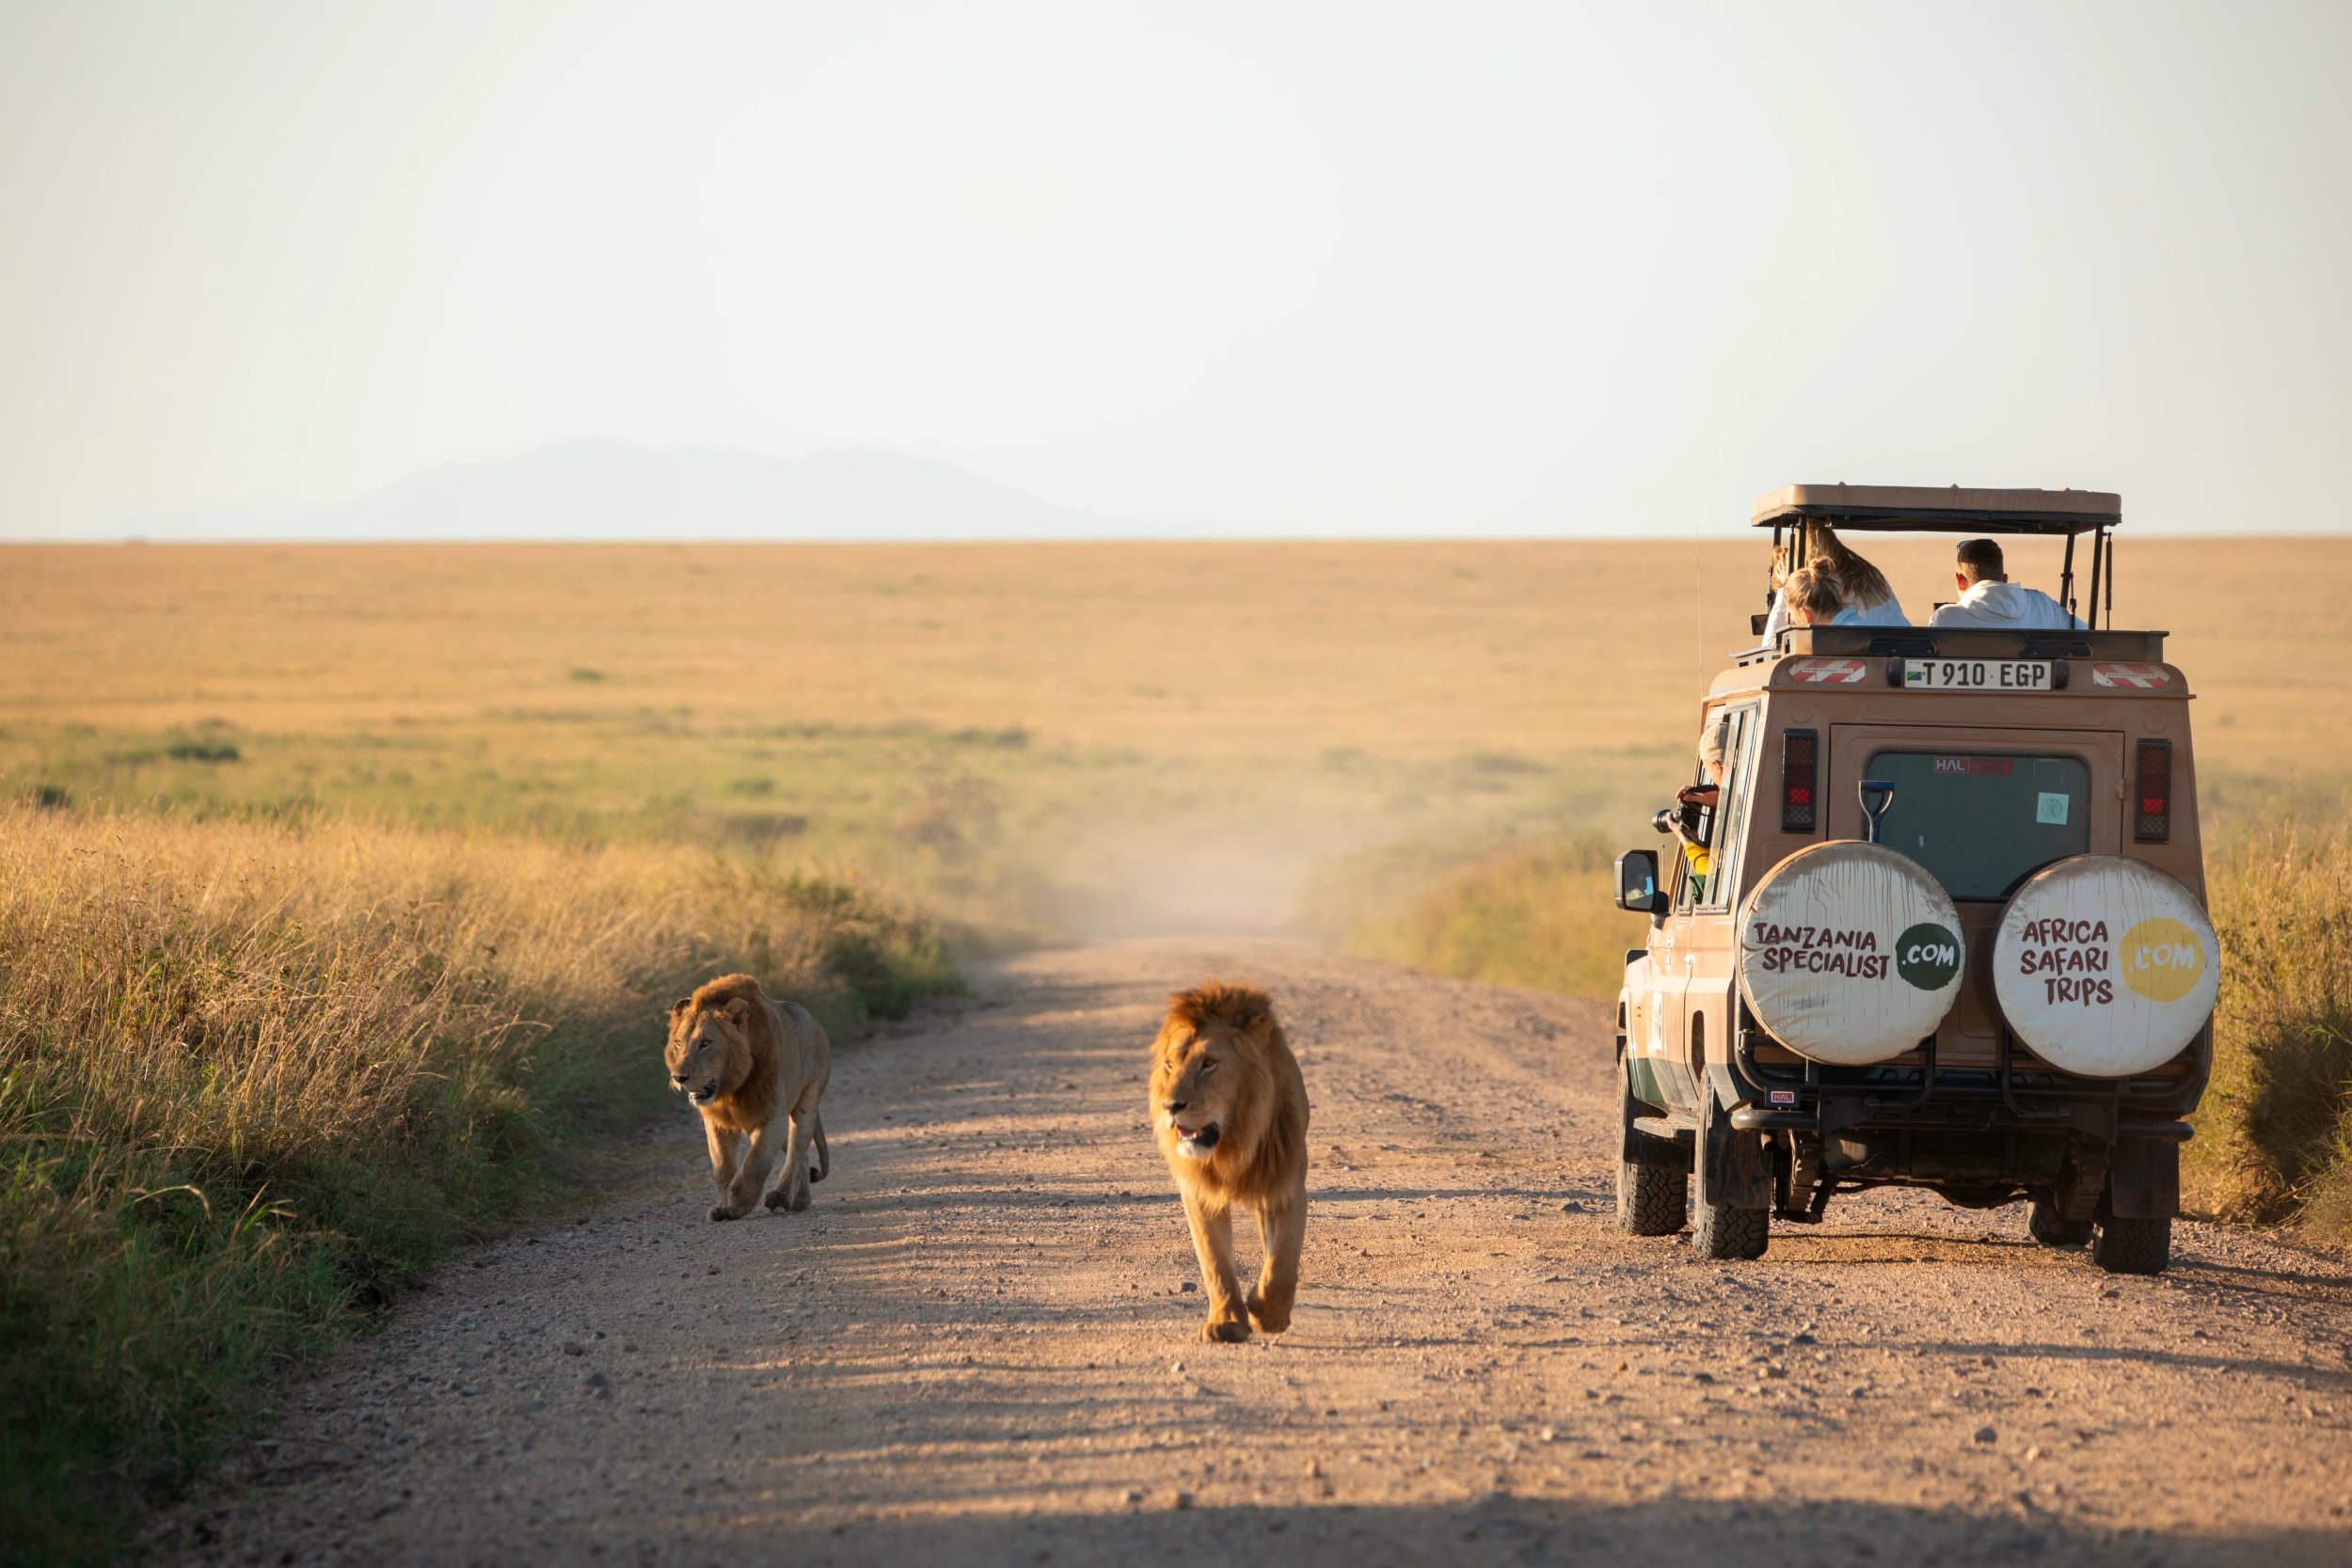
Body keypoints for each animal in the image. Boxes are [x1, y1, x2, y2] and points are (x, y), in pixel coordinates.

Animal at [664, 974, 832, 1222]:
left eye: (705, 1043)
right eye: (678, 1043)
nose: (679, 1077)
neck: (730, 1090)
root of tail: (815, 1021)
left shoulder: (772, 1116)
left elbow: (755, 1163)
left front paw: (738, 1206)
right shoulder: (715, 1122)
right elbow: (723, 1168)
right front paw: (723, 1208)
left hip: (808, 1100)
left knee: (797, 1150)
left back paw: (781, 1196)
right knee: (800, 1156)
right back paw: (800, 1200)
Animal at [1149, 981, 1309, 1342]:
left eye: (1208, 1063)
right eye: (1169, 1065)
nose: (1170, 1106)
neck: (1233, 1141)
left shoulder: (1286, 1181)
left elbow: (1283, 1257)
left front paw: (1269, 1314)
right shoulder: (1198, 1192)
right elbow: (1215, 1261)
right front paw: (1227, 1322)